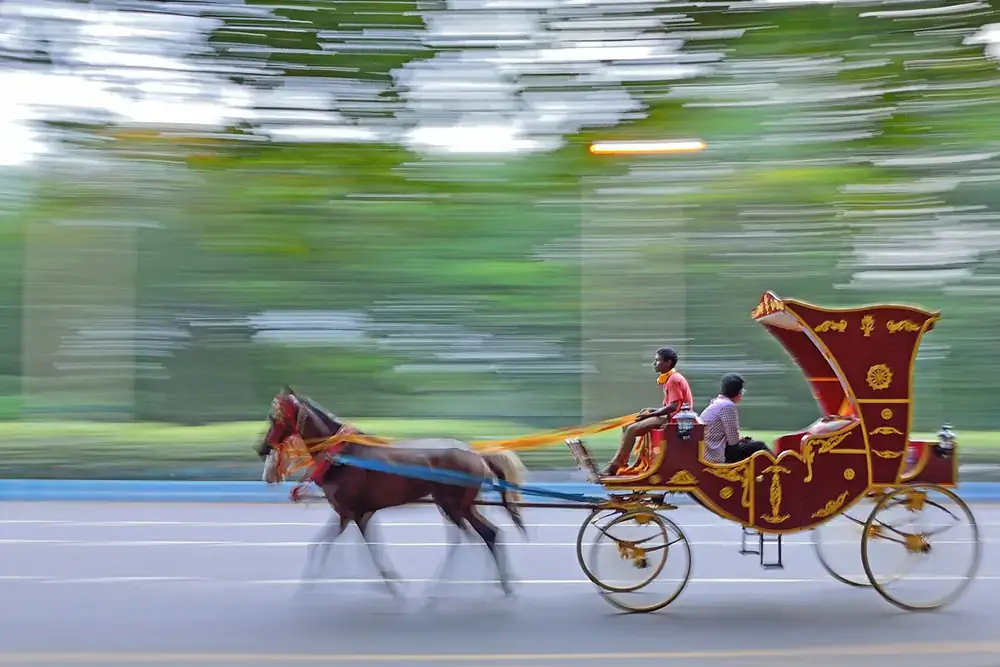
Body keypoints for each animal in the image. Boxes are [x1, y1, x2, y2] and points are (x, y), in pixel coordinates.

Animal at [252, 388, 532, 596]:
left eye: (275, 417)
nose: (261, 448)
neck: (342, 456)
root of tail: (476, 453)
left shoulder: (348, 512)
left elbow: (328, 545)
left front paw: (306, 587)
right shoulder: (358, 513)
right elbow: (364, 547)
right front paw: (391, 582)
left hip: (455, 505)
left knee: (485, 535)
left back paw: (491, 584)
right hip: (453, 505)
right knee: (475, 537)